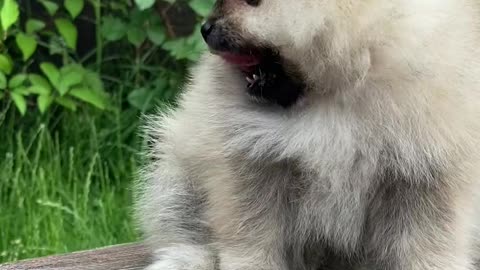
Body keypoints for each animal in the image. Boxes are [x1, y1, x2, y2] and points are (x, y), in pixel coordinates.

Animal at [134, 0, 480, 270]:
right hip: (179, 171)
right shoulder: (256, 162)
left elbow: (427, 242)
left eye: (250, 1)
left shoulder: (422, 172)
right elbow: (253, 234)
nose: (206, 29)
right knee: (183, 225)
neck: (335, 91)